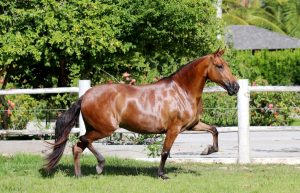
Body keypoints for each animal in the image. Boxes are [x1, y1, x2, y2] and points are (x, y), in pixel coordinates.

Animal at [45, 48, 239, 179]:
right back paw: (100, 165)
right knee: (83, 140)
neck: (182, 91)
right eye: (219, 66)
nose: (235, 87)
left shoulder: (192, 125)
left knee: (77, 146)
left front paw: (208, 150)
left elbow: (214, 129)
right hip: (104, 129)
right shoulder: (174, 129)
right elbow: (165, 152)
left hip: (96, 128)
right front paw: (161, 174)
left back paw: (79, 175)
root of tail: (85, 96)